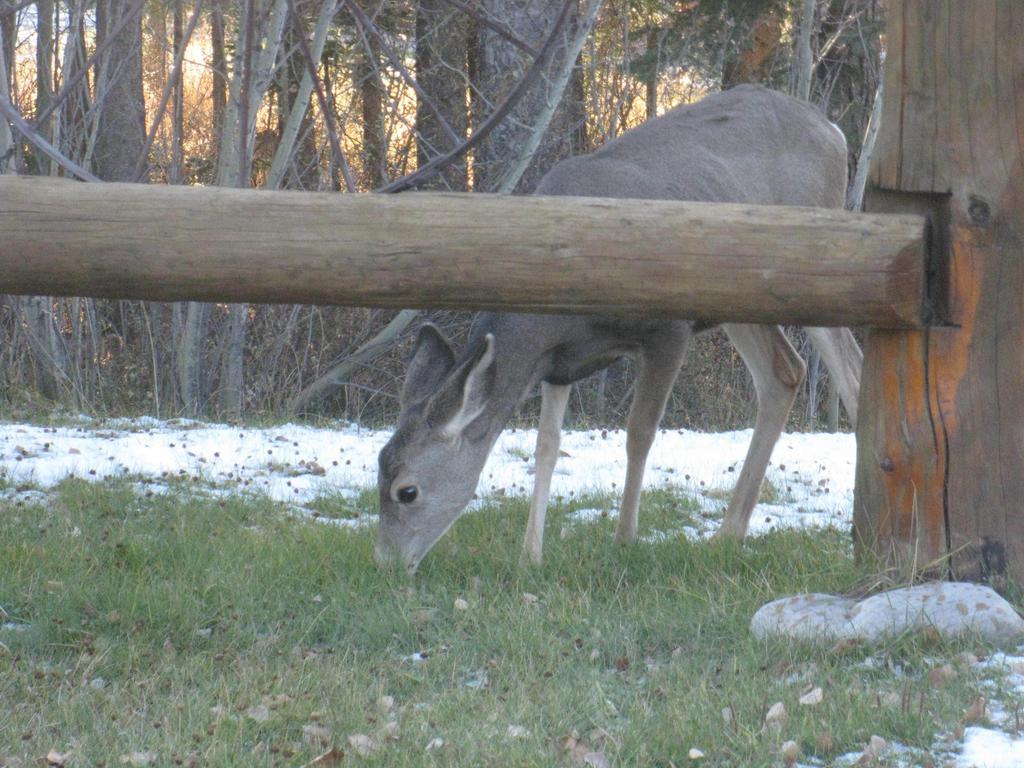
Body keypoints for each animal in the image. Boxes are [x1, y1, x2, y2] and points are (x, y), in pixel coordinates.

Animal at [372, 87, 860, 573]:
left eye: (407, 491)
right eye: (378, 469)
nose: (387, 565)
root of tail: (832, 130)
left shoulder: (667, 329)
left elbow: (639, 433)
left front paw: (625, 538)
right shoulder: (559, 362)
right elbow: (547, 445)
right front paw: (531, 554)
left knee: (851, 370)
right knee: (785, 372)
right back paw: (727, 534)